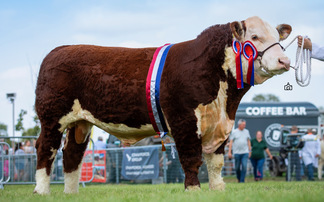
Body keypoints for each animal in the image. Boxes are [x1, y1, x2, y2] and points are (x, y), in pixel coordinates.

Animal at [33, 16, 292, 194]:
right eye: (255, 37)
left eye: (279, 38)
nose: (284, 60)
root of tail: (58, 50)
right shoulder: (184, 119)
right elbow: (191, 157)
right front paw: (193, 191)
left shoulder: (221, 124)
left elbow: (216, 162)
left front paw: (218, 190)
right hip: (51, 117)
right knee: (46, 149)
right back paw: (42, 191)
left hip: (80, 122)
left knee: (72, 154)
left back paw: (71, 193)